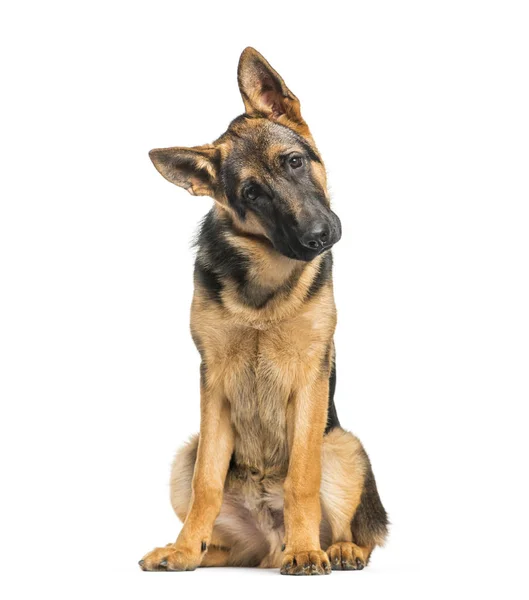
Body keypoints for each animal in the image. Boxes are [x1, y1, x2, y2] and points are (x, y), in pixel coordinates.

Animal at [139, 45, 388, 572]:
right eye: (252, 193)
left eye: (293, 162)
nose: (318, 237)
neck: (266, 278)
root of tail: (268, 543)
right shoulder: (213, 382)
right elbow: (206, 484)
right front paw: (185, 548)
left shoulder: (311, 377)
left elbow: (302, 479)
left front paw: (307, 549)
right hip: (188, 452)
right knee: (224, 538)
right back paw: (191, 550)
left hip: (344, 445)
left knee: (363, 532)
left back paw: (336, 548)